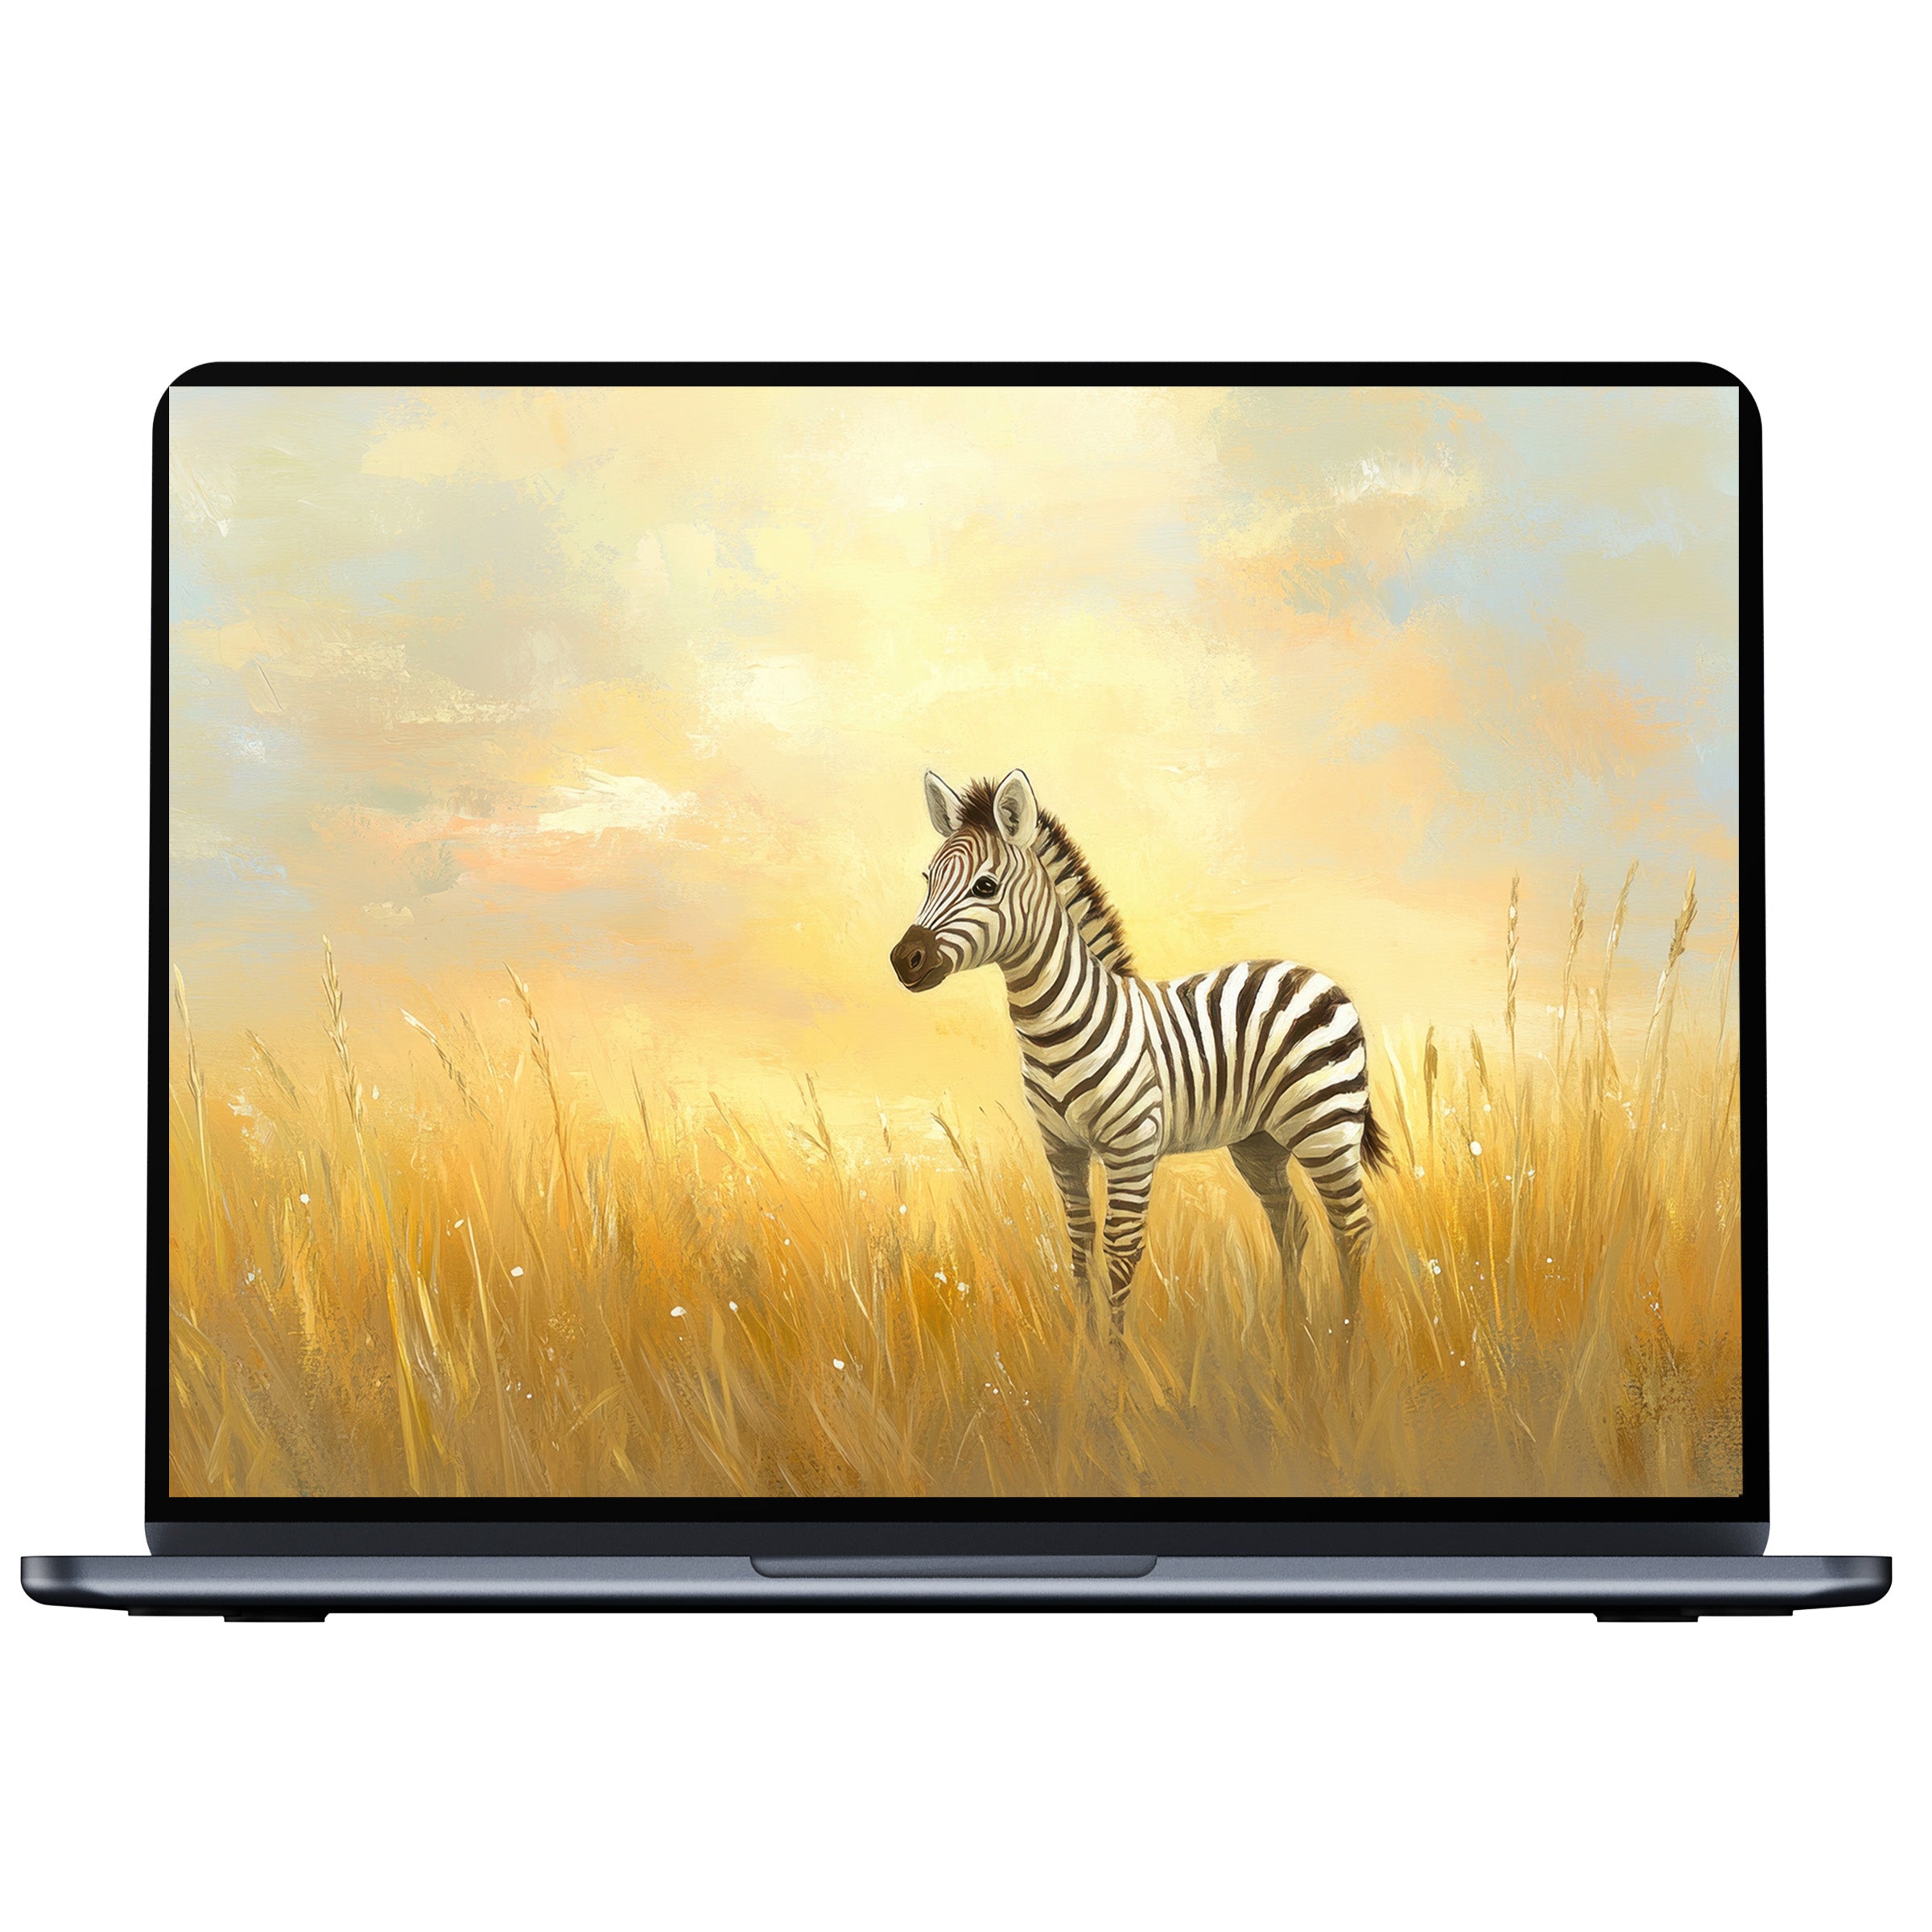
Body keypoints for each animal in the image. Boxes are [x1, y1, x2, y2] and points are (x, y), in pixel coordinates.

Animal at [890, 768, 1391, 1336]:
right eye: (927, 879)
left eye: (985, 887)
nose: (904, 960)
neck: (1053, 1029)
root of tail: (1316, 975)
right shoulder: (1062, 1149)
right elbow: (1079, 1245)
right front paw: (1085, 1350)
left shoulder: (1131, 1149)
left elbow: (1120, 1253)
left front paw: (1118, 1354)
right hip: (1259, 1141)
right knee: (1293, 1224)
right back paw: (1296, 1339)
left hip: (1327, 1126)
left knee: (1352, 1230)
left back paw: (1346, 1346)